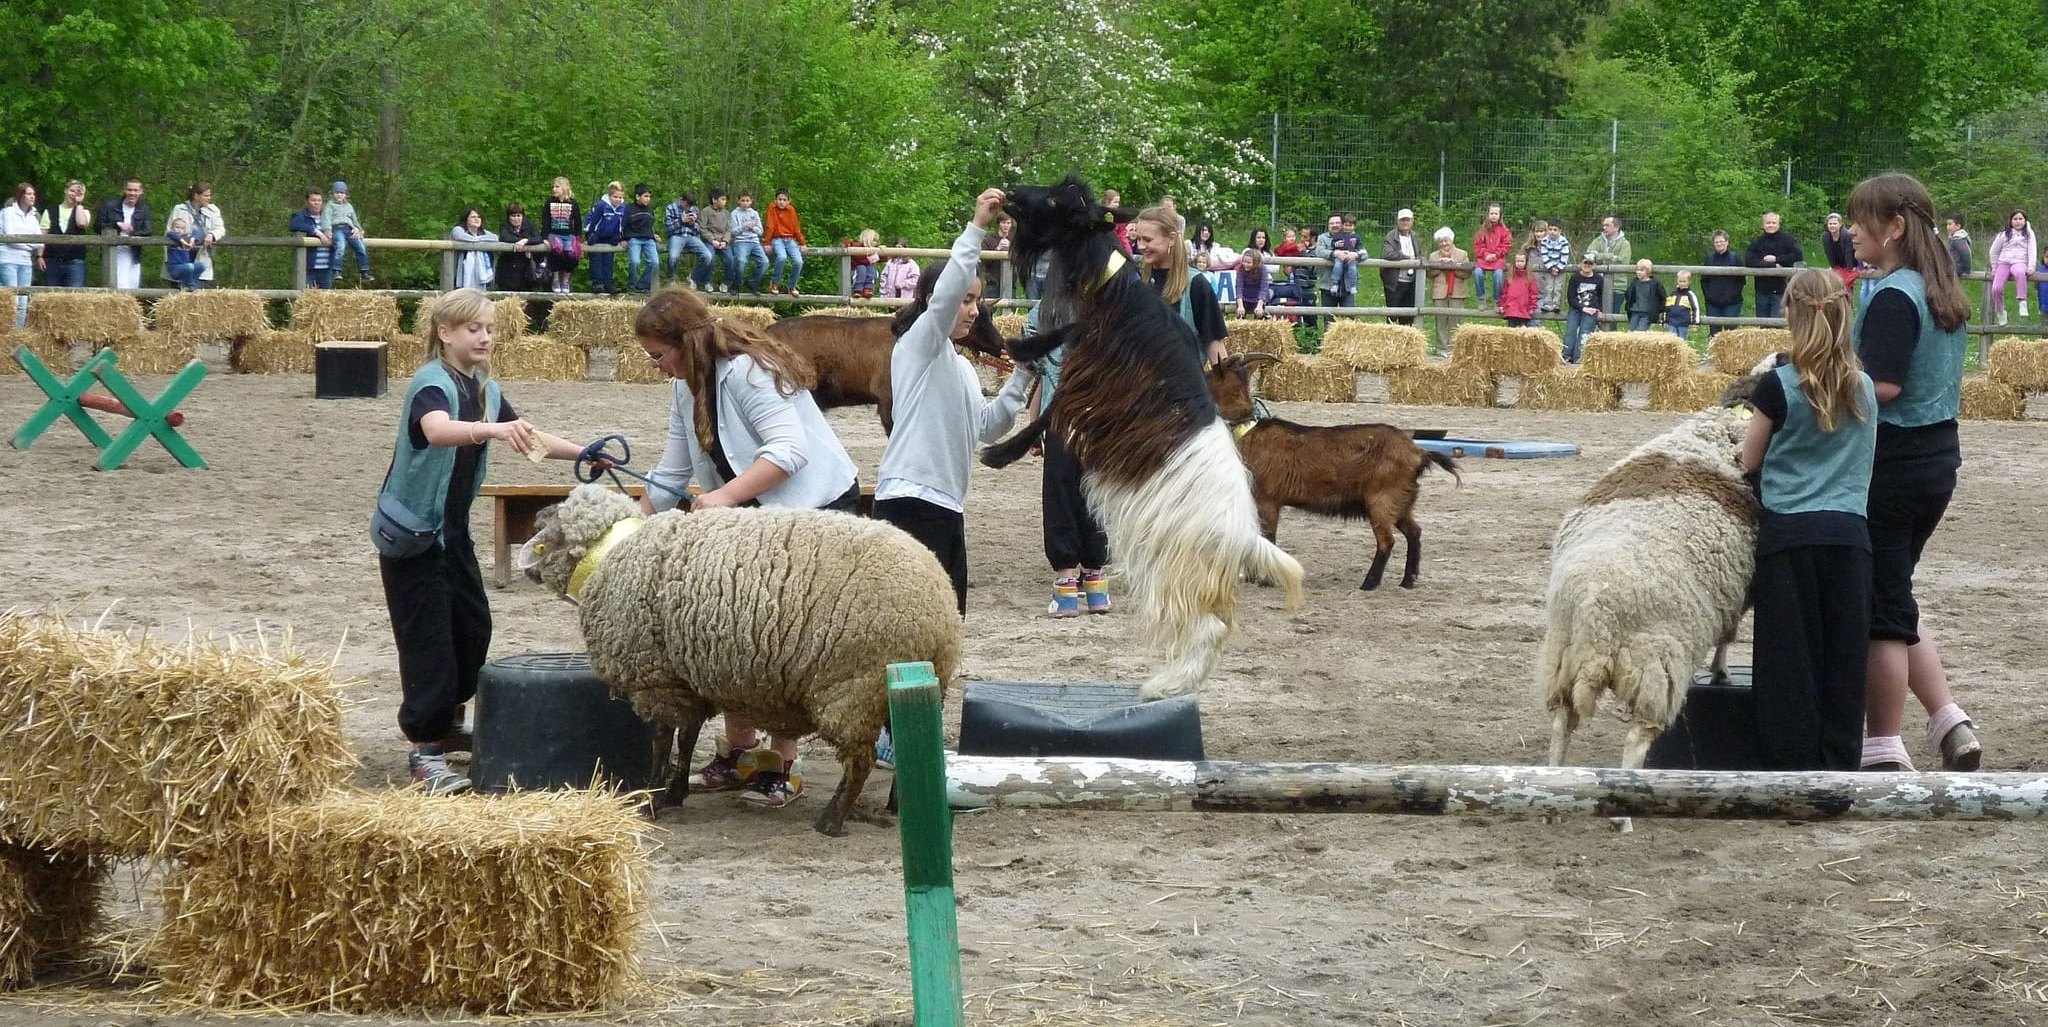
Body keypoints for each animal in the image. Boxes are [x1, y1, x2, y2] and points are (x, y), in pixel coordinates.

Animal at [518, 484, 962, 836]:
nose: (535, 517)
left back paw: (832, 821)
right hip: (906, 684)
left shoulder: (658, 681)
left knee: (860, 762)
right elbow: (686, 738)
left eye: (549, 533)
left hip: (851, 689)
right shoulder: (686, 680)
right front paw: (674, 792)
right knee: (913, 743)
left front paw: (651, 799)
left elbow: (662, 739)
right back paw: (902, 807)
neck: (611, 556)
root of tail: (942, 606)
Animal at [980, 176, 1305, 702]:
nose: (1010, 195)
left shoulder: (1092, 385)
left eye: (1056, 201)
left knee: (1206, 628)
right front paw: (1022, 344)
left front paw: (999, 451)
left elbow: (1050, 411)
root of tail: (1241, 537)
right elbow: (1056, 359)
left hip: (1178, 567)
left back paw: (1167, 684)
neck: (1119, 296)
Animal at [1207, 353, 1460, 590]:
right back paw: (1408, 581)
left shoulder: (1268, 499)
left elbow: (1269, 537)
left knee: (1387, 541)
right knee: (1414, 532)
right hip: (1401, 501)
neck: (1248, 431)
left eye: (1209, 375)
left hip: (1382, 500)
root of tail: (1419, 453)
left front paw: (1266, 580)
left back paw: (1369, 584)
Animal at [1539, 404, 1759, 777]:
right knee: (1637, 738)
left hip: (1563, 655)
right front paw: (1722, 672)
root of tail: (1593, 609)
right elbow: (1728, 636)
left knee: (1561, 723)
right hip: (1656, 663)